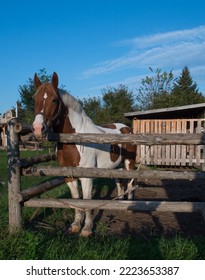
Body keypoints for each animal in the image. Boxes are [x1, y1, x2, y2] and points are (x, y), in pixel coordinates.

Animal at [32, 71, 136, 235]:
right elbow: (76, 199)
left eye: (54, 100)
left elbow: (87, 200)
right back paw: (119, 203)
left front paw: (87, 228)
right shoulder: (68, 176)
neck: (75, 140)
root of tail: (127, 129)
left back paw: (131, 205)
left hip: (129, 163)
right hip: (116, 166)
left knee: (132, 182)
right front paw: (76, 224)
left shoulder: (87, 176)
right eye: (34, 100)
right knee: (120, 183)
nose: (37, 129)